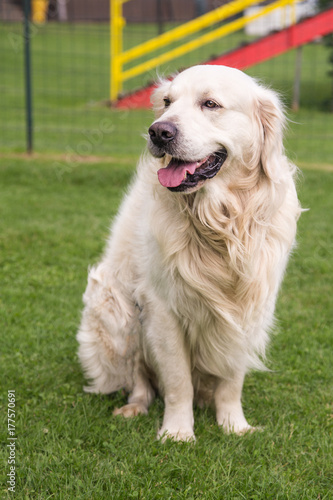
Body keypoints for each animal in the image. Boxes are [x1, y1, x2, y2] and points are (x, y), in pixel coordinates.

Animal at [76, 63, 300, 442]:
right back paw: (133, 408)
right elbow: (178, 380)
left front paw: (234, 425)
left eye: (210, 104)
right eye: (167, 102)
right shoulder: (162, 307)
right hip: (113, 306)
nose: (158, 132)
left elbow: (231, 381)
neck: (219, 223)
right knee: (138, 378)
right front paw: (178, 432)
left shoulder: (248, 307)